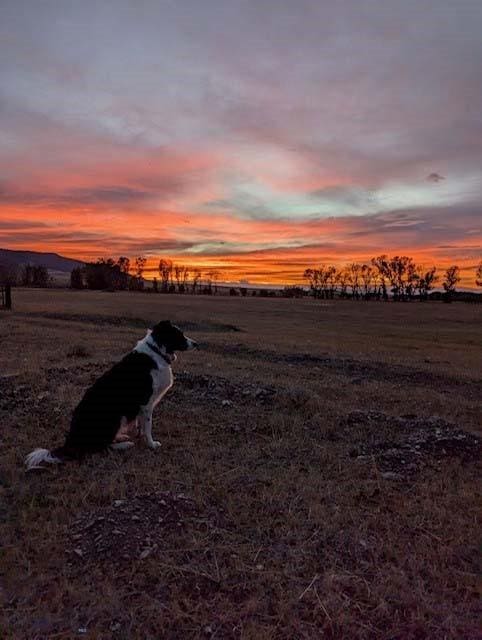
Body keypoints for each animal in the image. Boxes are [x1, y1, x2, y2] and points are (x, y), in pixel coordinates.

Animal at [24, 320, 198, 470]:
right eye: (179, 334)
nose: (196, 344)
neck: (156, 350)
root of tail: (72, 441)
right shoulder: (147, 403)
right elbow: (148, 426)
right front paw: (151, 444)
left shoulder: (141, 407)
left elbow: (140, 424)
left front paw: (139, 435)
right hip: (114, 416)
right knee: (102, 446)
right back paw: (124, 444)